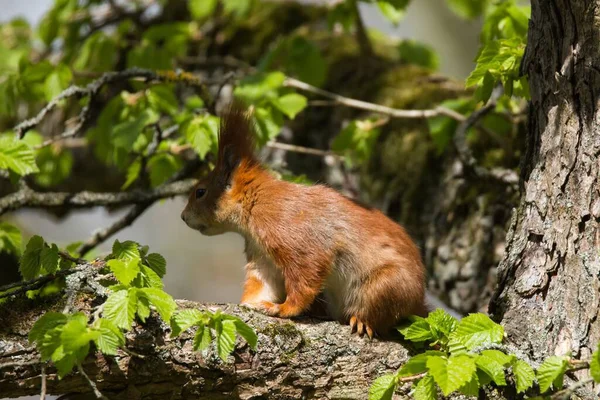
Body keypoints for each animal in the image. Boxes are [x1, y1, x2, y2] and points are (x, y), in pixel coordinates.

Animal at [180, 102, 428, 338]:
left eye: (200, 192)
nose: (183, 217)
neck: (257, 202)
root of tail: (419, 303)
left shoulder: (291, 233)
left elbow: (305, 278)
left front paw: (283, 309)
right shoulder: (262, 255)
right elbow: (262, 283)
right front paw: (249, 303)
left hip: (385, 287)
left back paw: (362, 321)